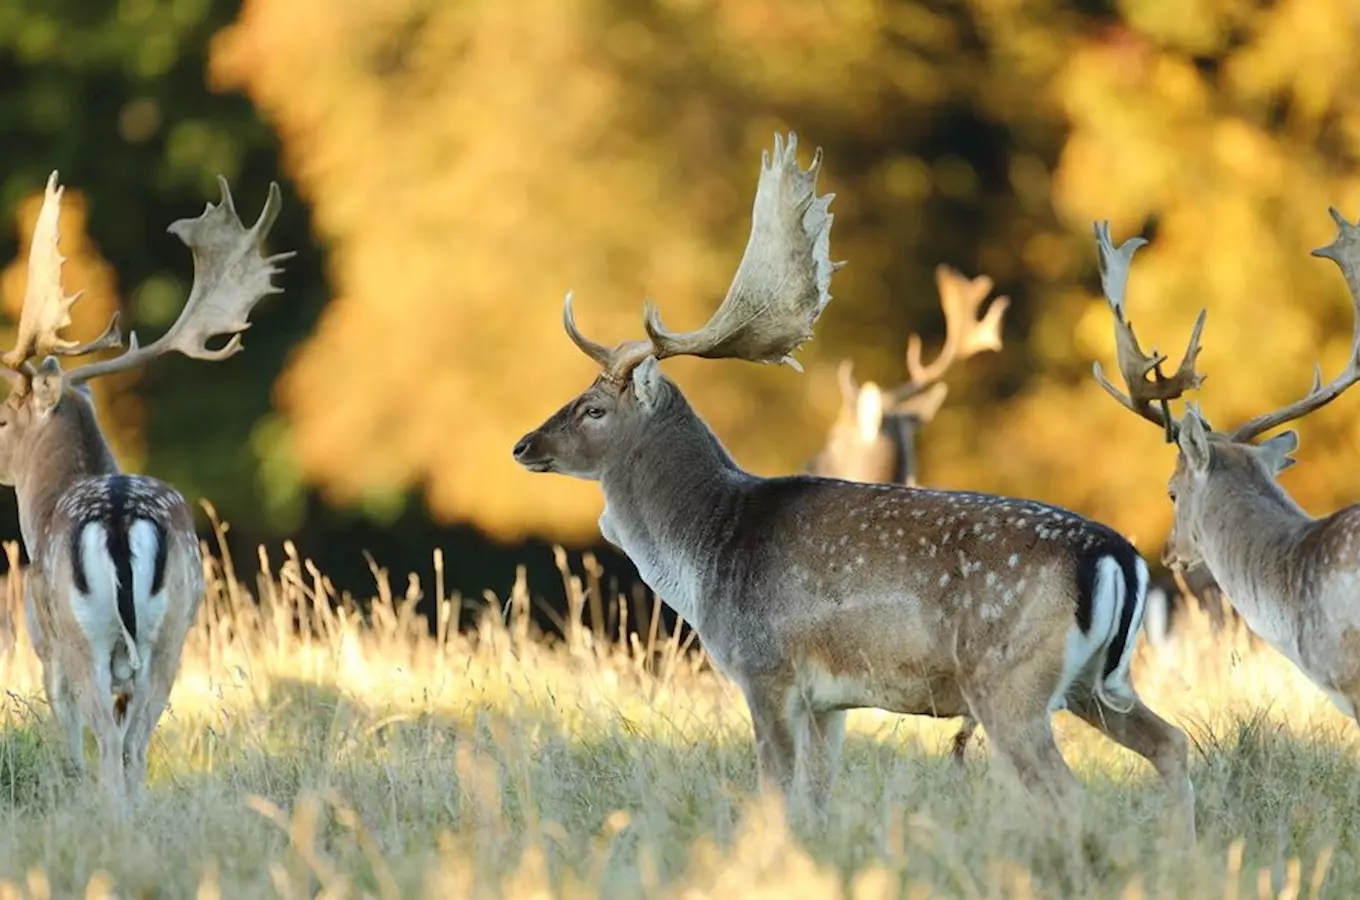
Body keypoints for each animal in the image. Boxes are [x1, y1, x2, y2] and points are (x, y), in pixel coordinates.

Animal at [0, 171, 292, 815]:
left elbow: (69, 741)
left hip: (86, 639)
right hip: (173, 635)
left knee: (111, 744)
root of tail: (115, 516)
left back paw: (112, 818)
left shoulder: (43, 644)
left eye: (1, 416)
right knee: (137, 742)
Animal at [514, 135, 1196, 848]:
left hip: (1010, 679)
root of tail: (1117, 556)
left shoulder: (766, 668)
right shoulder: (828, 701)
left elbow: (774, 791)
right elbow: (816, 799)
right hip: (1096, 683)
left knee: (1066, 791)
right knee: (1172, 744)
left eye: (593, 409)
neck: (706, 555)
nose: (523, 446)